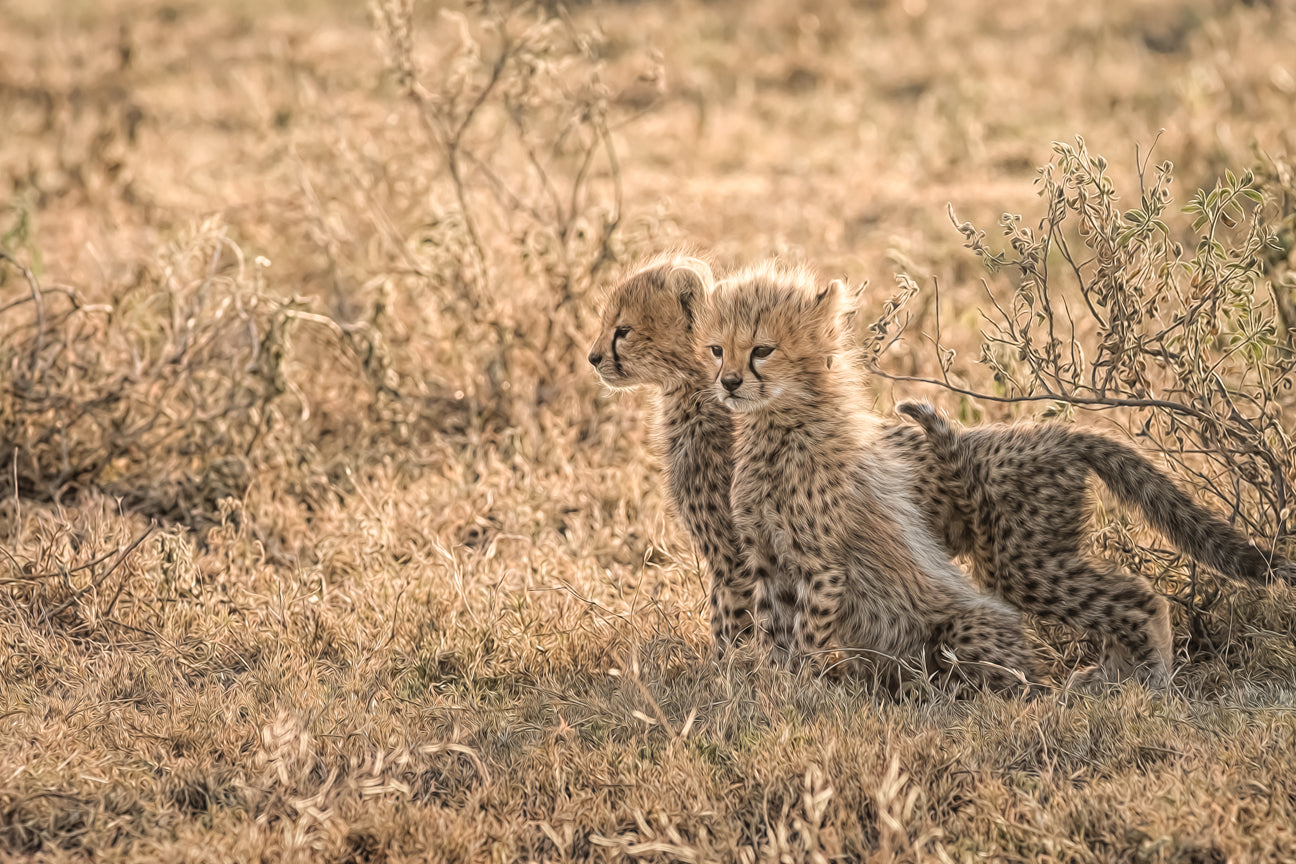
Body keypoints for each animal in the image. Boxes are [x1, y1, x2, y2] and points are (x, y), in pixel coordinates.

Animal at [696, 261, 1036, 693]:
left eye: (762, 350)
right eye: (717, 350)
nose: (729, 382)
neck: (778, 430)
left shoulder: (821, 567)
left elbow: (807, 634)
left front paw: (802, 688)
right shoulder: (766, 558)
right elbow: (775, 630)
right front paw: (774, 683)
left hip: (963, 627)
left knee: (1017, 680)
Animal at [893, 399, 1296, 688]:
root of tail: (1052, 434)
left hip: (1020, 562)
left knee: (1135, 598)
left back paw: (1149, 676)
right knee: (1126, 597)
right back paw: (1113, 676)